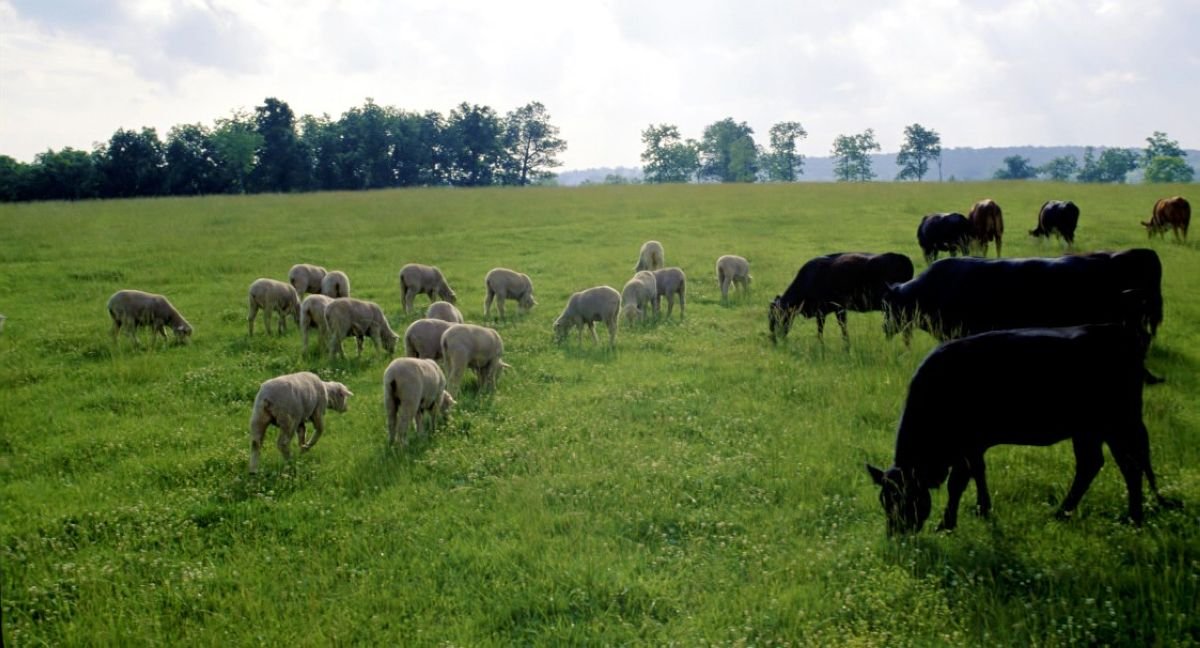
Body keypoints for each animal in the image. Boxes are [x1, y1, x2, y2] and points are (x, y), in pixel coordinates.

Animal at [772, 252, 912, 343]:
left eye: (774, 316)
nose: (773, 337)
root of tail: (903, 258)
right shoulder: (827, 311)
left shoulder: (835, 309)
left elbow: (835, 327)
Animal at [864, 326, 1171, 535]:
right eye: (884, 500)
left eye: (906, 499)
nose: (896, 535)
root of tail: (1119, 333)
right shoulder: (974, 447)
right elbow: (979, 473)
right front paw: (983, 509)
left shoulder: (966, 445)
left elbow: (958, 483)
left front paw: (947, 524)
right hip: (1091, 430)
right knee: (1097, 464)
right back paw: (1066, 513)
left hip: (1118, 423)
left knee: (1129, 466)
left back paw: (1132, 518)